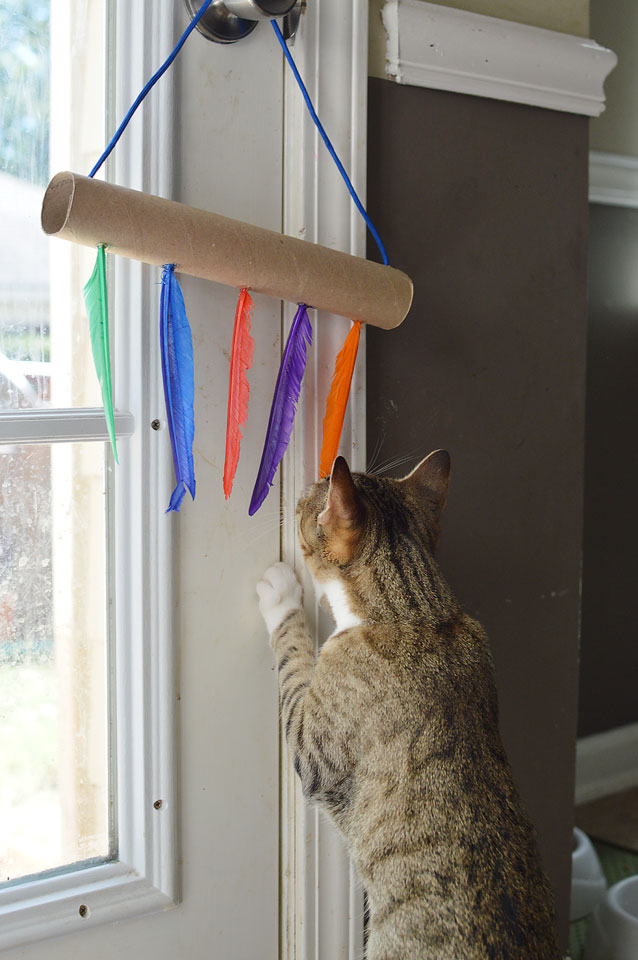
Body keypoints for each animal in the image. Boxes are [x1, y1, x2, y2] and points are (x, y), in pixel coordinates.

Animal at [258, 452, 564, 960]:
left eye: (307, 500)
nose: (305, 486)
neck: (417, 610)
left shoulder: (314, 750)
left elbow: (293, 653)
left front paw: (280, 591)